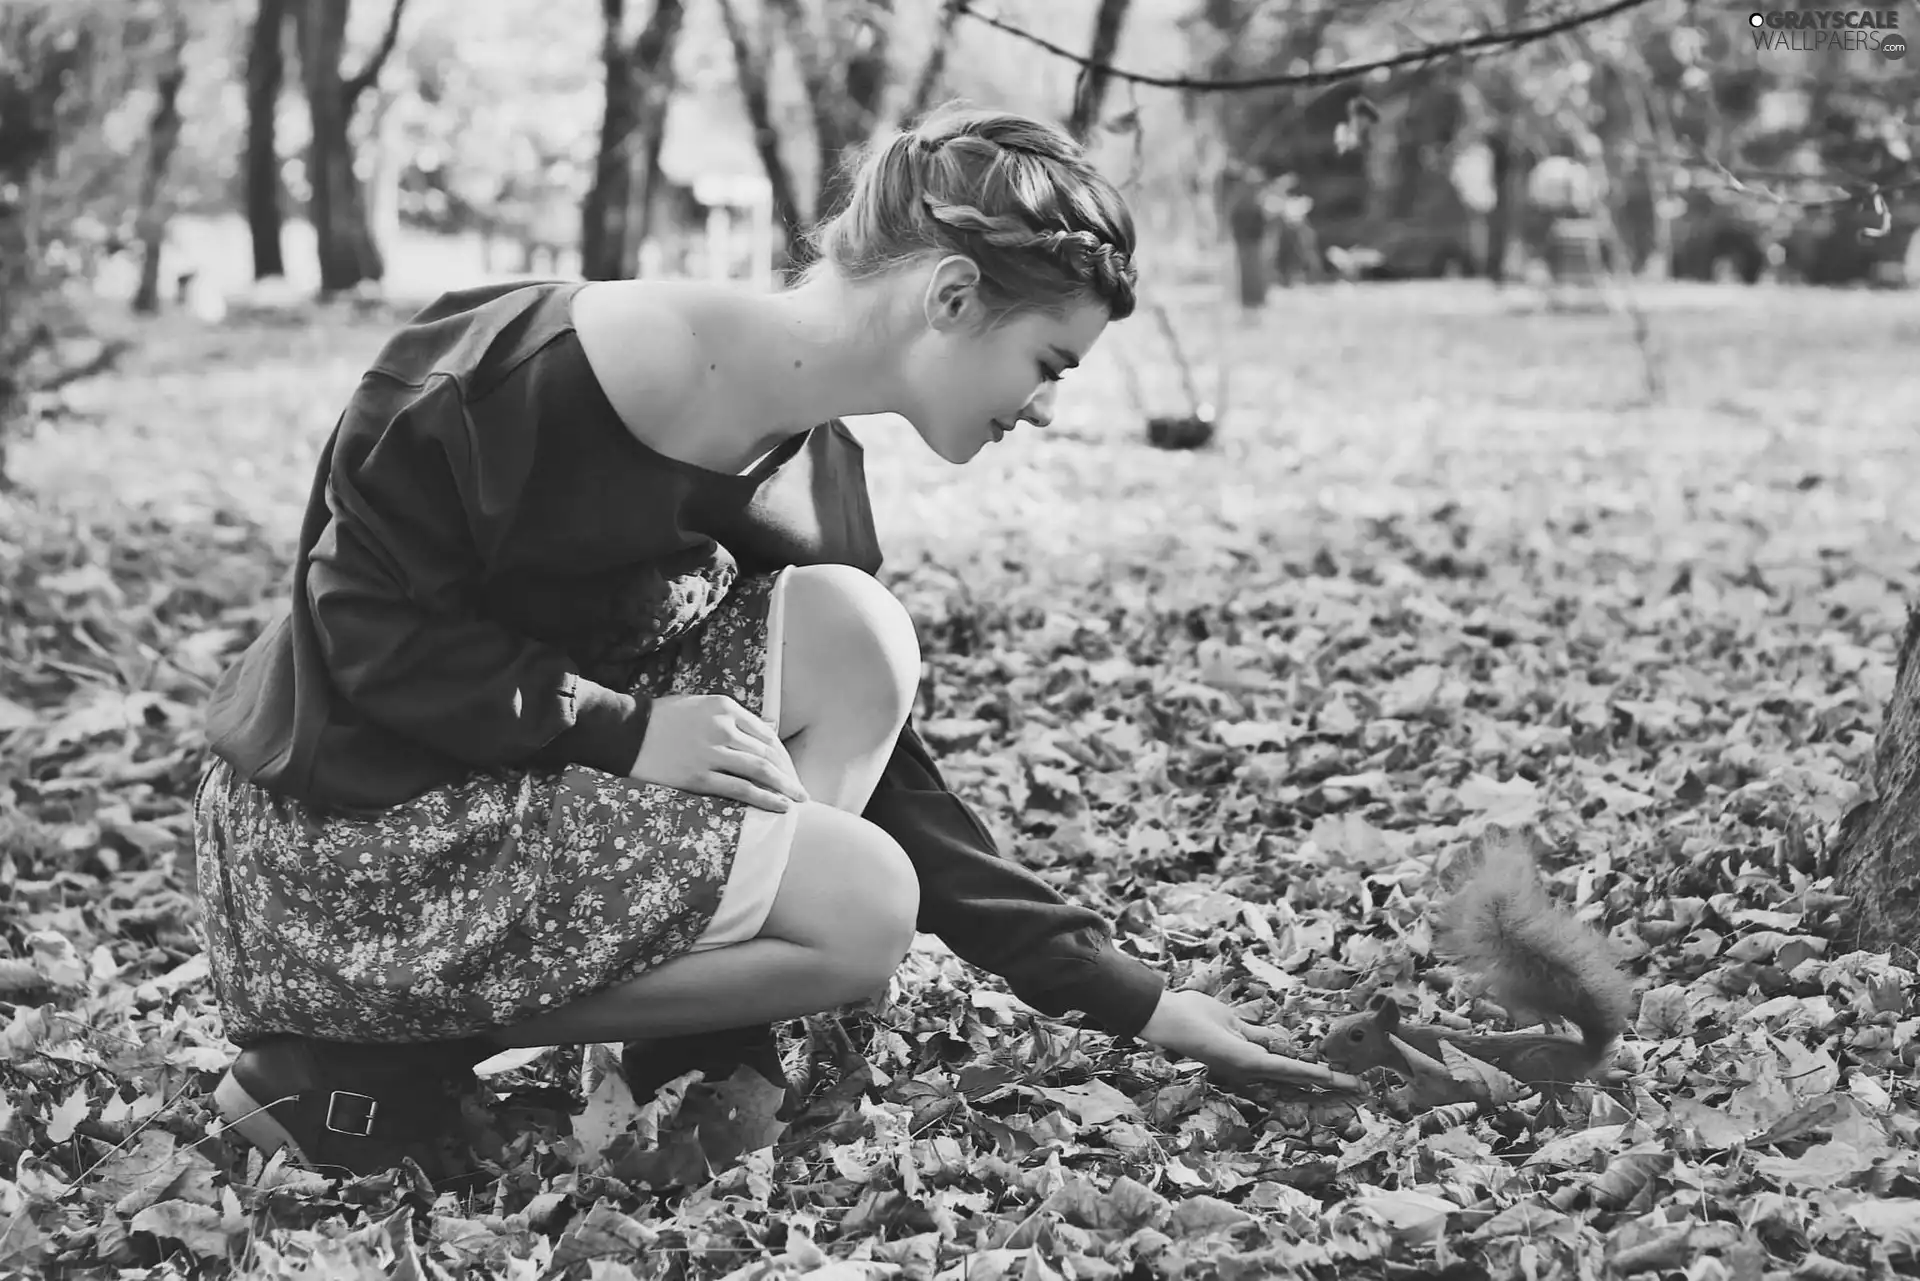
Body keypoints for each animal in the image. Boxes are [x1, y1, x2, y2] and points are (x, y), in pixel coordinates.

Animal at [1320, 833, 1635, 1106]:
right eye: (1336, 1024)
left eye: (1357, 1035)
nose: (1322, 1050)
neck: (1406, 1042)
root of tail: (1588, 1054)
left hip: (1537, 1065)